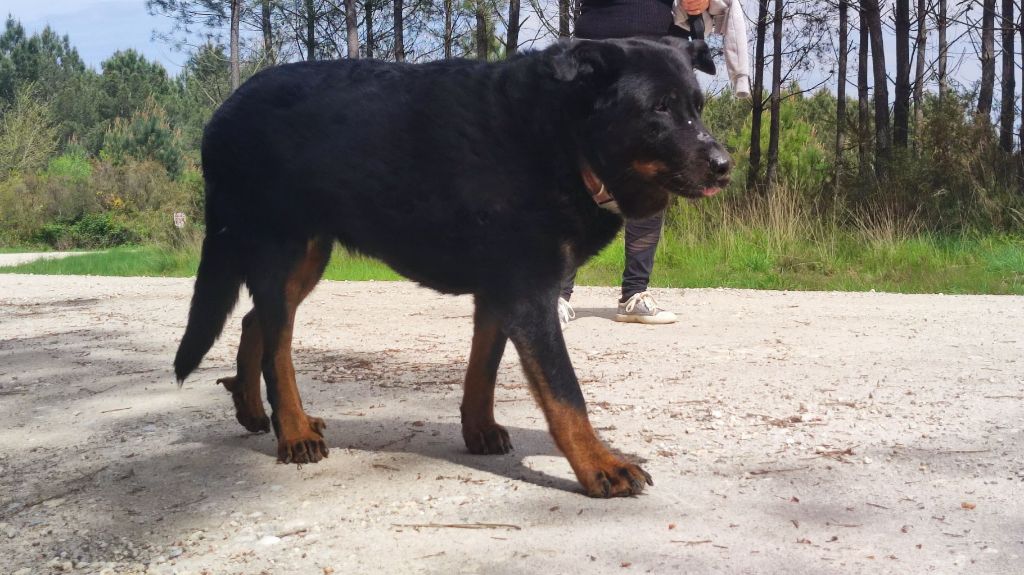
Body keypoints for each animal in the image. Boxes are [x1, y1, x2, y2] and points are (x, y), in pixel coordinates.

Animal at [178, 36, 737, 497]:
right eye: (658, 108)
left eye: (697, 107)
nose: (724, 165)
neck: (564, 138)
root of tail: (221, 115)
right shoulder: (530, 296)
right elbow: (565, 395)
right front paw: (599, 465)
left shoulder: (499, 295)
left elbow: (482, 371)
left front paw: (478, 430)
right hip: (283, 248)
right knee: (279, 346)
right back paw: (291, 431)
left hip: (309, 255)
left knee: (257, 322)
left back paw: (256, 410)